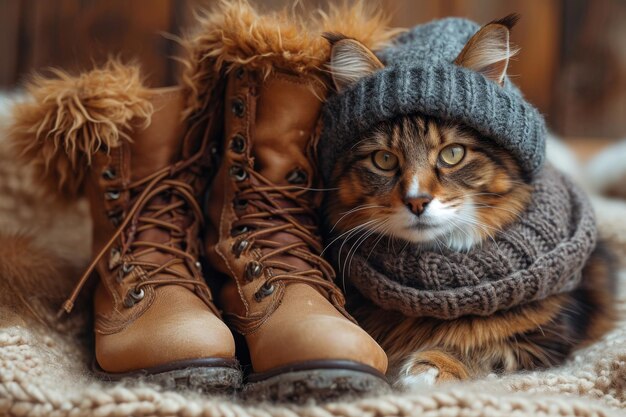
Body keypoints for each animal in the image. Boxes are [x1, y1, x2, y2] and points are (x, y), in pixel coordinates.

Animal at [322, 16, 616, 386]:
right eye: (384, 160)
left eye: (452, 154)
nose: (416, 201)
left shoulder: (549, 332)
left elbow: (482, 342)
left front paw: (429, 368)